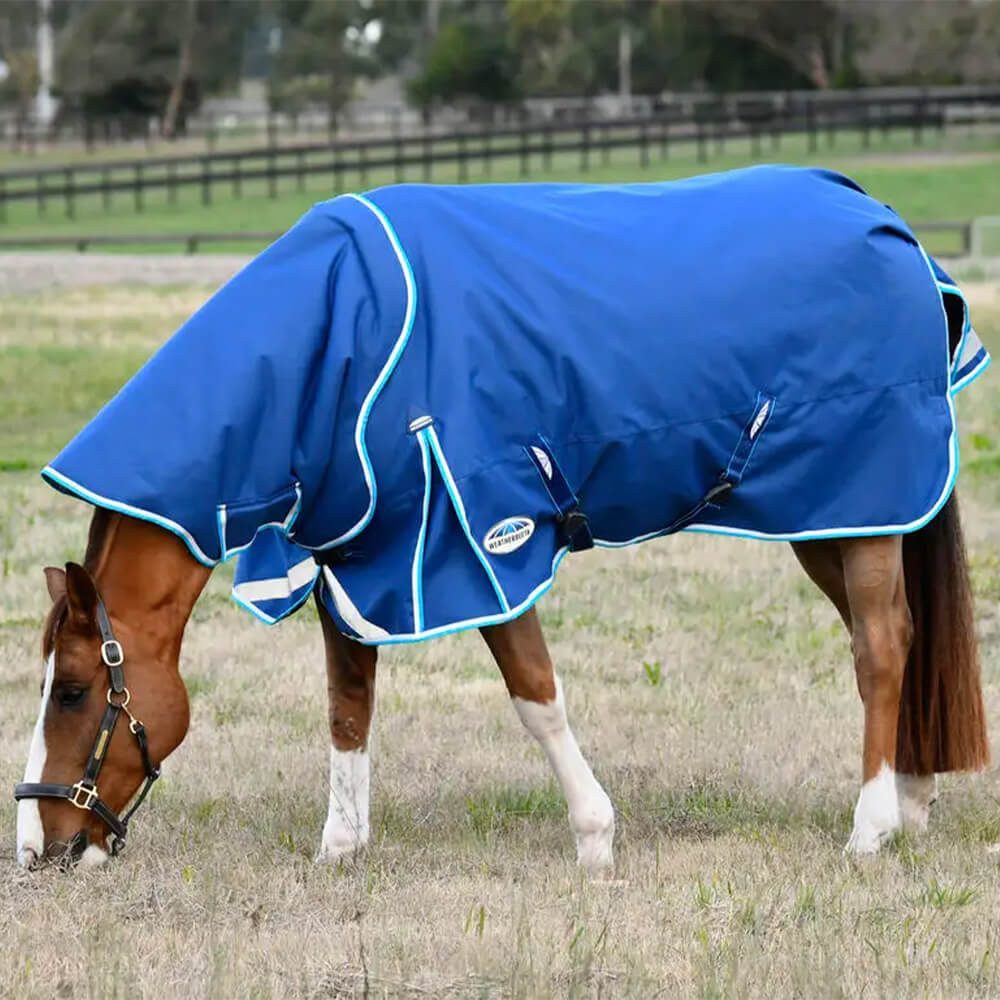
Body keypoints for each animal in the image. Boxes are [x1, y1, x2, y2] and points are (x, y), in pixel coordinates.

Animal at [15, 165, 990, 870]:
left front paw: (595, 839)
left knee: (881, 646)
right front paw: (340, 850)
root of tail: (884, 218)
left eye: (74, 692)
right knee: (894, 638)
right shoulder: (363, 562)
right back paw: (910, 804)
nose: (37, 849)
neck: (339, 346)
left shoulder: (480, 546)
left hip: (862, 501)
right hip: (831, 517)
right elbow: (347, 707)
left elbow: (535, 697)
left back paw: (870, 828)